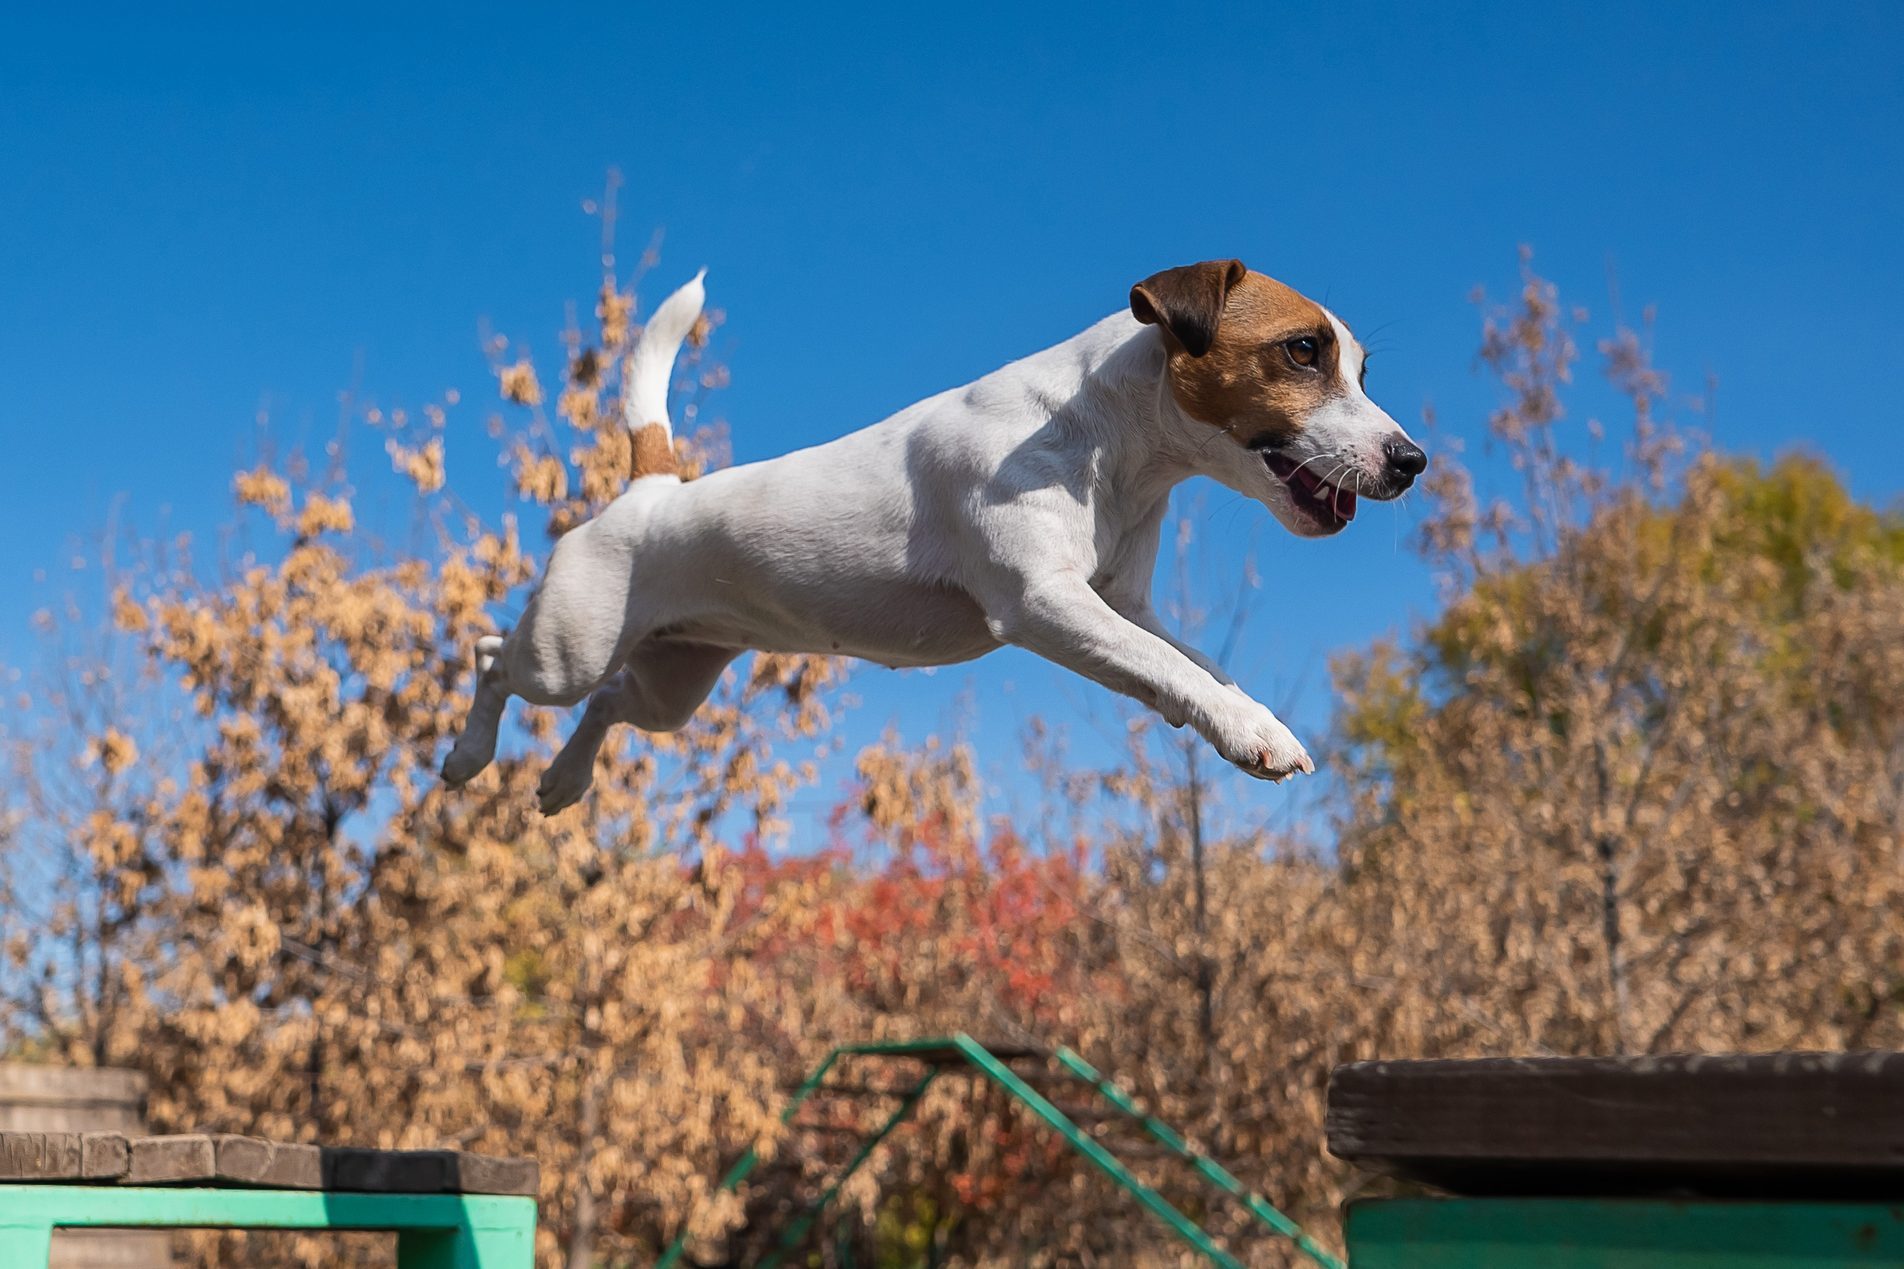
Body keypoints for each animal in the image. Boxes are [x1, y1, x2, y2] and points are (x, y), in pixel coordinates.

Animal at [445, 259, 1424, 811]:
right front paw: (1252, 731)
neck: (1110, 437)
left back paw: (563, 780)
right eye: (1302, 351)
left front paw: (1249, 715)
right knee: (495, 656)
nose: (1412, 459)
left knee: (609, 704)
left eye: (1362, 368)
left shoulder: (1124, 604)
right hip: (566, 648)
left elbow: (1195, 664)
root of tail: (653, 486)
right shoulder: (1044, 603)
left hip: (672, 686)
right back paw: (465, 754)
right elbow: (1172, 669)